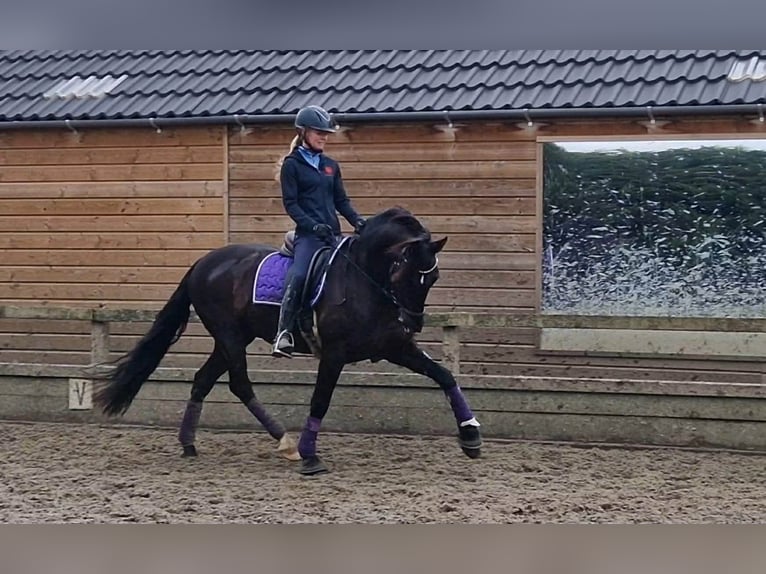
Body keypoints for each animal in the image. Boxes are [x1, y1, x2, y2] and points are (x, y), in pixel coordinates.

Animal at [93, 206, 483, 475]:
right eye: (404, 271)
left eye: (433, 278)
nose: (412, 322)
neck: (364, 280)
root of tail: (204, 261)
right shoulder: (335, 354)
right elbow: (320, 401)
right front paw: (310, 456)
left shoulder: (395, 347)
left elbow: (445, 376)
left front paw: (471, 437)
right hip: (229, 336)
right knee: (240, 384)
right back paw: (286, 442)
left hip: (232, 338)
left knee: (204, 380)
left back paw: (189, 443)